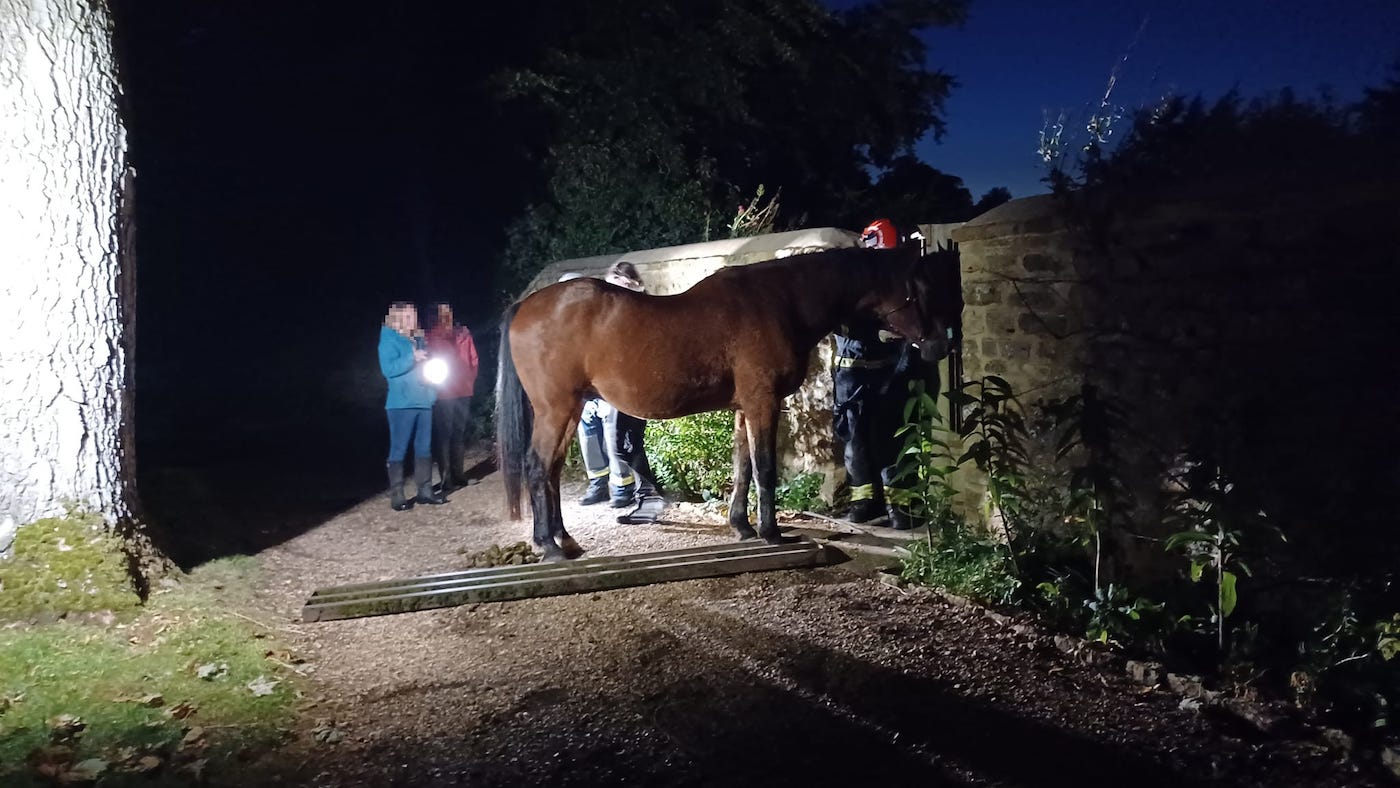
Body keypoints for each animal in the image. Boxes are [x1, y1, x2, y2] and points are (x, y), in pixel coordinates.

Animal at [495, 245, 958, 561]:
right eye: (920, 291)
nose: (941, 345)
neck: (780, 301)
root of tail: (524, 306)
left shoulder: (742, 408)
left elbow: (742, 468)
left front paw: (742, 527)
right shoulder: (762, 402)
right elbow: (765, 469)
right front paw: (771, 532)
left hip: (569, 410)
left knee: (551, 471)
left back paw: (564, 540)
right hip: (557, 410)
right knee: (538, 467)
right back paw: (548, 546)